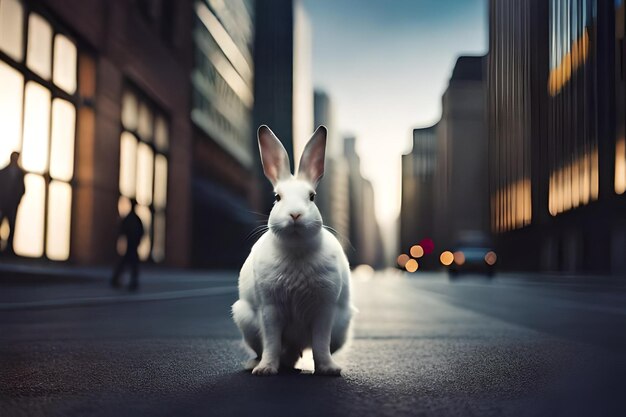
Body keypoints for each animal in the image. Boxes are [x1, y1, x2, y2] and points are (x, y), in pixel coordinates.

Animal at [232, 125, 354, 376]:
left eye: (312, 197)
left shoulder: (324, 310)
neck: (296, 249)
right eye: (277, 197)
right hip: (244, 319)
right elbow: (271, 343)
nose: (295, 214)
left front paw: (329, 369)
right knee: (271, 350)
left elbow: (320, 344)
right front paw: (266, 370)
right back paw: (254, 364)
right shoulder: (270, 309)